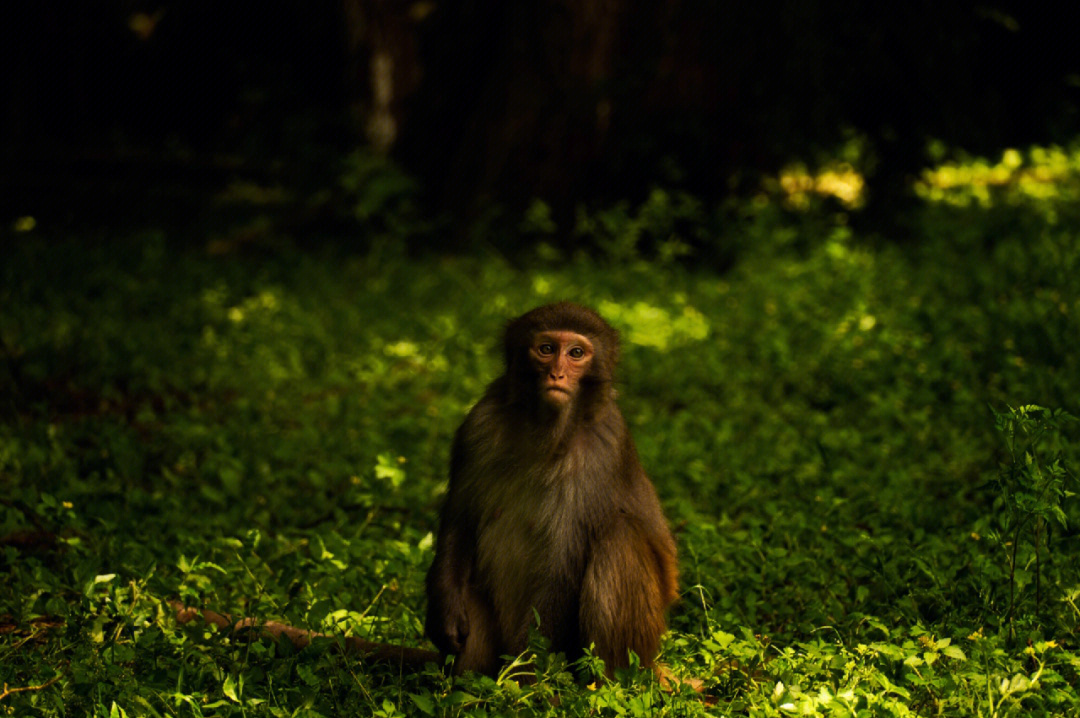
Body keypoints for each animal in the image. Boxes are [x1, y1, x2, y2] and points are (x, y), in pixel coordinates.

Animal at [421, 300, 673, 673]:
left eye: (577, 353)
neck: (545, 430)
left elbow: (562, 564)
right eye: (546, 349)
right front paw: (445, 613)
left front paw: (525, 678)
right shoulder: (479, 424)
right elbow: (461, 517)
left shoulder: (601, 450)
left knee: (620, 538)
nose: (557, 374)